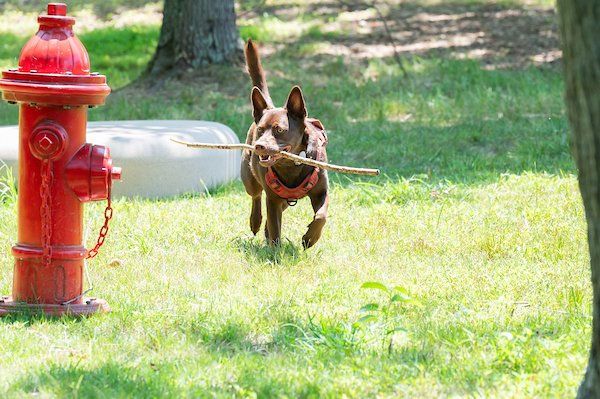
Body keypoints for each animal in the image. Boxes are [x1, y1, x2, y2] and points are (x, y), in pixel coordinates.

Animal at [241, 39, 330, 248]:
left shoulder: (321, 191)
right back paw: (255, 221)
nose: (259, 146)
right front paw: (275, 252)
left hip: (285, 200)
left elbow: (321, 216)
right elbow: (275, 228)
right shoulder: (272, 199)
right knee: (256, 195)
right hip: (249, 177)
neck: (292, 165)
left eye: (280, 130)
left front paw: (309, 238)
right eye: (261, 130)